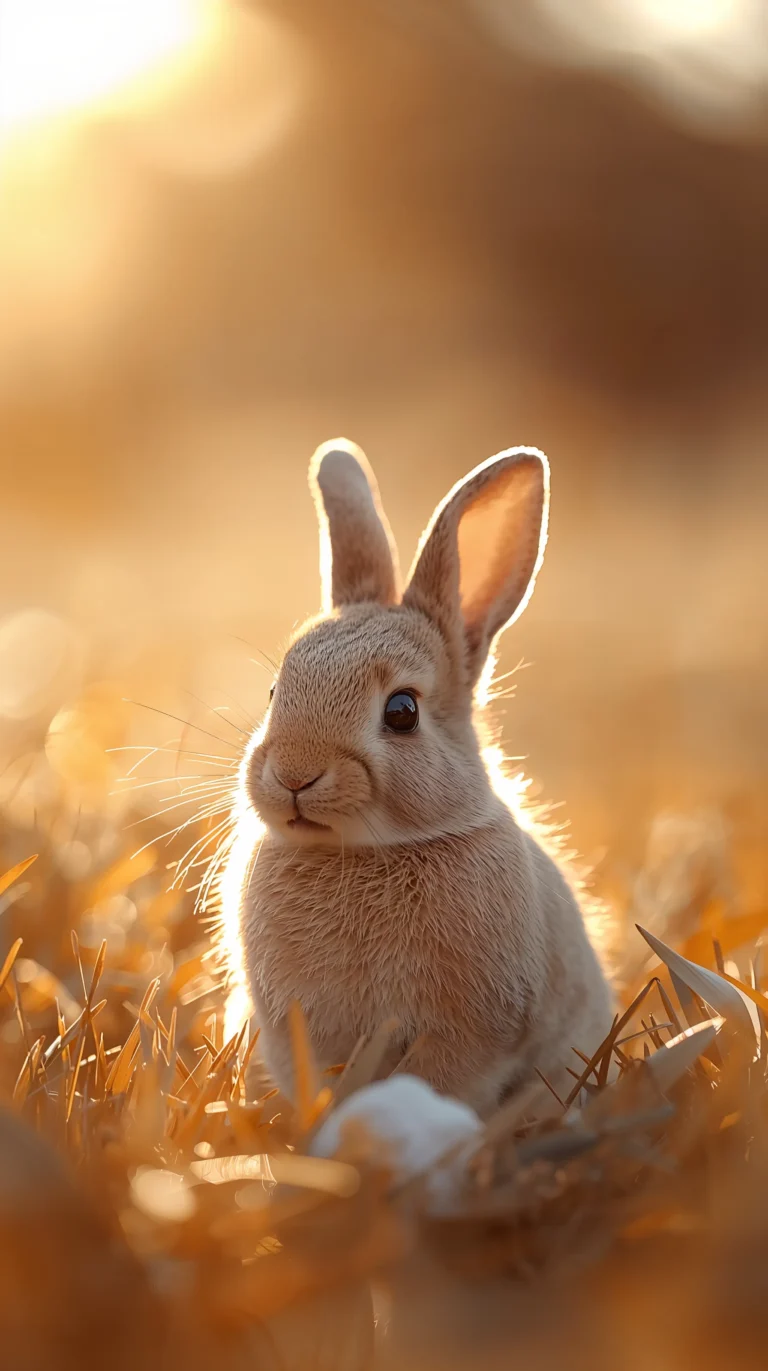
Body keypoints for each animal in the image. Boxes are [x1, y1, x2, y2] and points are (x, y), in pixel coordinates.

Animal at [221, 439, 614, 1115]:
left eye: (402, 711)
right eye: (275, 691)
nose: (295, 775)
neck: (363, 852)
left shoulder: (472, 1033)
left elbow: (436, 1080)